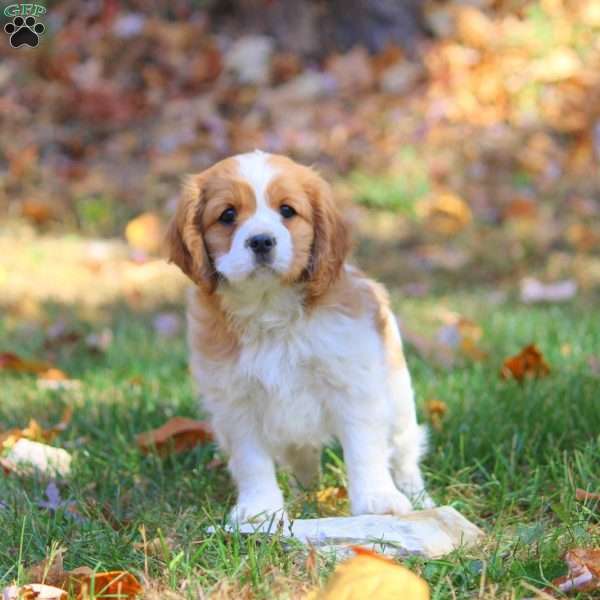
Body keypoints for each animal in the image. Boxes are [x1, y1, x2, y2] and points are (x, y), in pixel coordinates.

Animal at [166, 151, 434, 524]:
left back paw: (418, 496)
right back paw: (303, 496)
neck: (270, 310)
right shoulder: (236, 401)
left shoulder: (354, 386)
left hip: (398, 400)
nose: (261, 241)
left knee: (405, 452)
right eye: (228, 215)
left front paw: (376, 499)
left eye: (287, 211)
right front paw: (260, 510)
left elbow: (364, 448)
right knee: (303, 460)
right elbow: (252, 461)